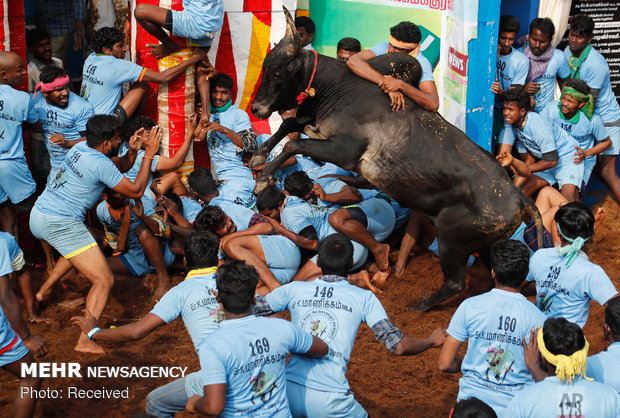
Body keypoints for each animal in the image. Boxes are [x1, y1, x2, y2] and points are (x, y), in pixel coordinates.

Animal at [249, 12, 540, 310]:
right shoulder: (312, 126)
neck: (337, 87)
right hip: (486, 244)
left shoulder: (344, 151)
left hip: (451, 242)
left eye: (277, 73)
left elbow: (293, 143)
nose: (256, 108)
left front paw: (262, 180)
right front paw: (259, 155)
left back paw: (420, 305)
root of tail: (518, 196)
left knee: (455, 282)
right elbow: (289, 127)